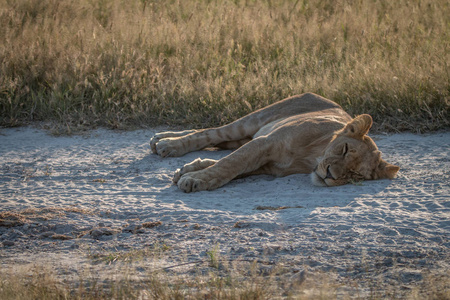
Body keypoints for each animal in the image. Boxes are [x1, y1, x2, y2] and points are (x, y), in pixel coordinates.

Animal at [149, 92, 400, 193]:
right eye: (345, 149)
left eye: (355, 175)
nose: (330, 175)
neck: (312, 157)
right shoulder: (265, 142)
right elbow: (229, 164)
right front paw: (193, 179)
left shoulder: (268, 165)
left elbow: (230, 167)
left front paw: (190, 172)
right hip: (253, 120)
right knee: (211, 133)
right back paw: (166, 143)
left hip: (246, 135)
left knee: (224, 144)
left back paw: (162, 140)